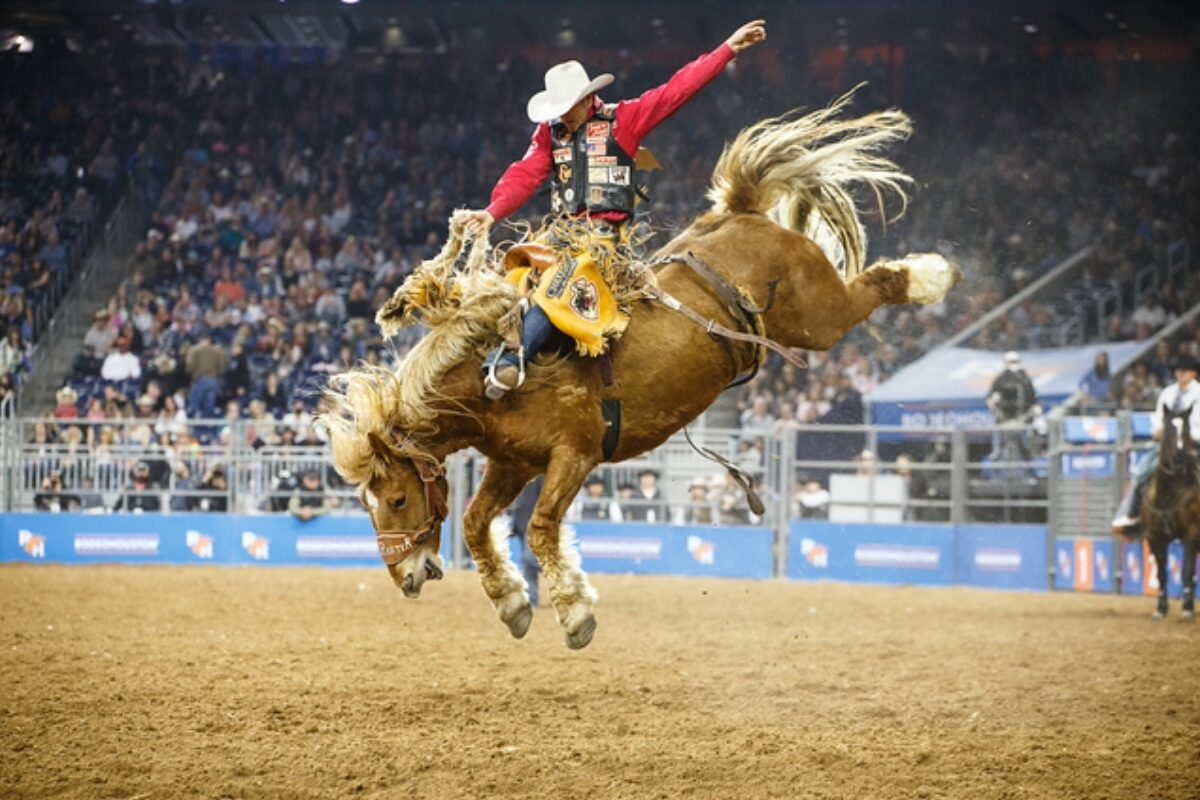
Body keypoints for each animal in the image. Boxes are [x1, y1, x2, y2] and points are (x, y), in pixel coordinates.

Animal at [318, 91, 961, 649]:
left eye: (396, 499)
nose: (407, 577)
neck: (491, 377)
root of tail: (739, 213)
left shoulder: (574, 455)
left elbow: (542, 527)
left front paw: (574, 613)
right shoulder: (513, 462)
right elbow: (477, 524)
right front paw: (513, 602)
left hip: (818, 317)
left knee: (873, 286)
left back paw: (934, 274)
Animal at [1142, 405, 1200, 620]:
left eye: (1186, 429)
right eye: (1169, 429)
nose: (1179, 460)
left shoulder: (1192, 534)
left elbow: (1186, 571)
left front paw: (1187, 608)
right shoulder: (1155, 537)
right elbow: (1161, 573)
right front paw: (1161, 608)